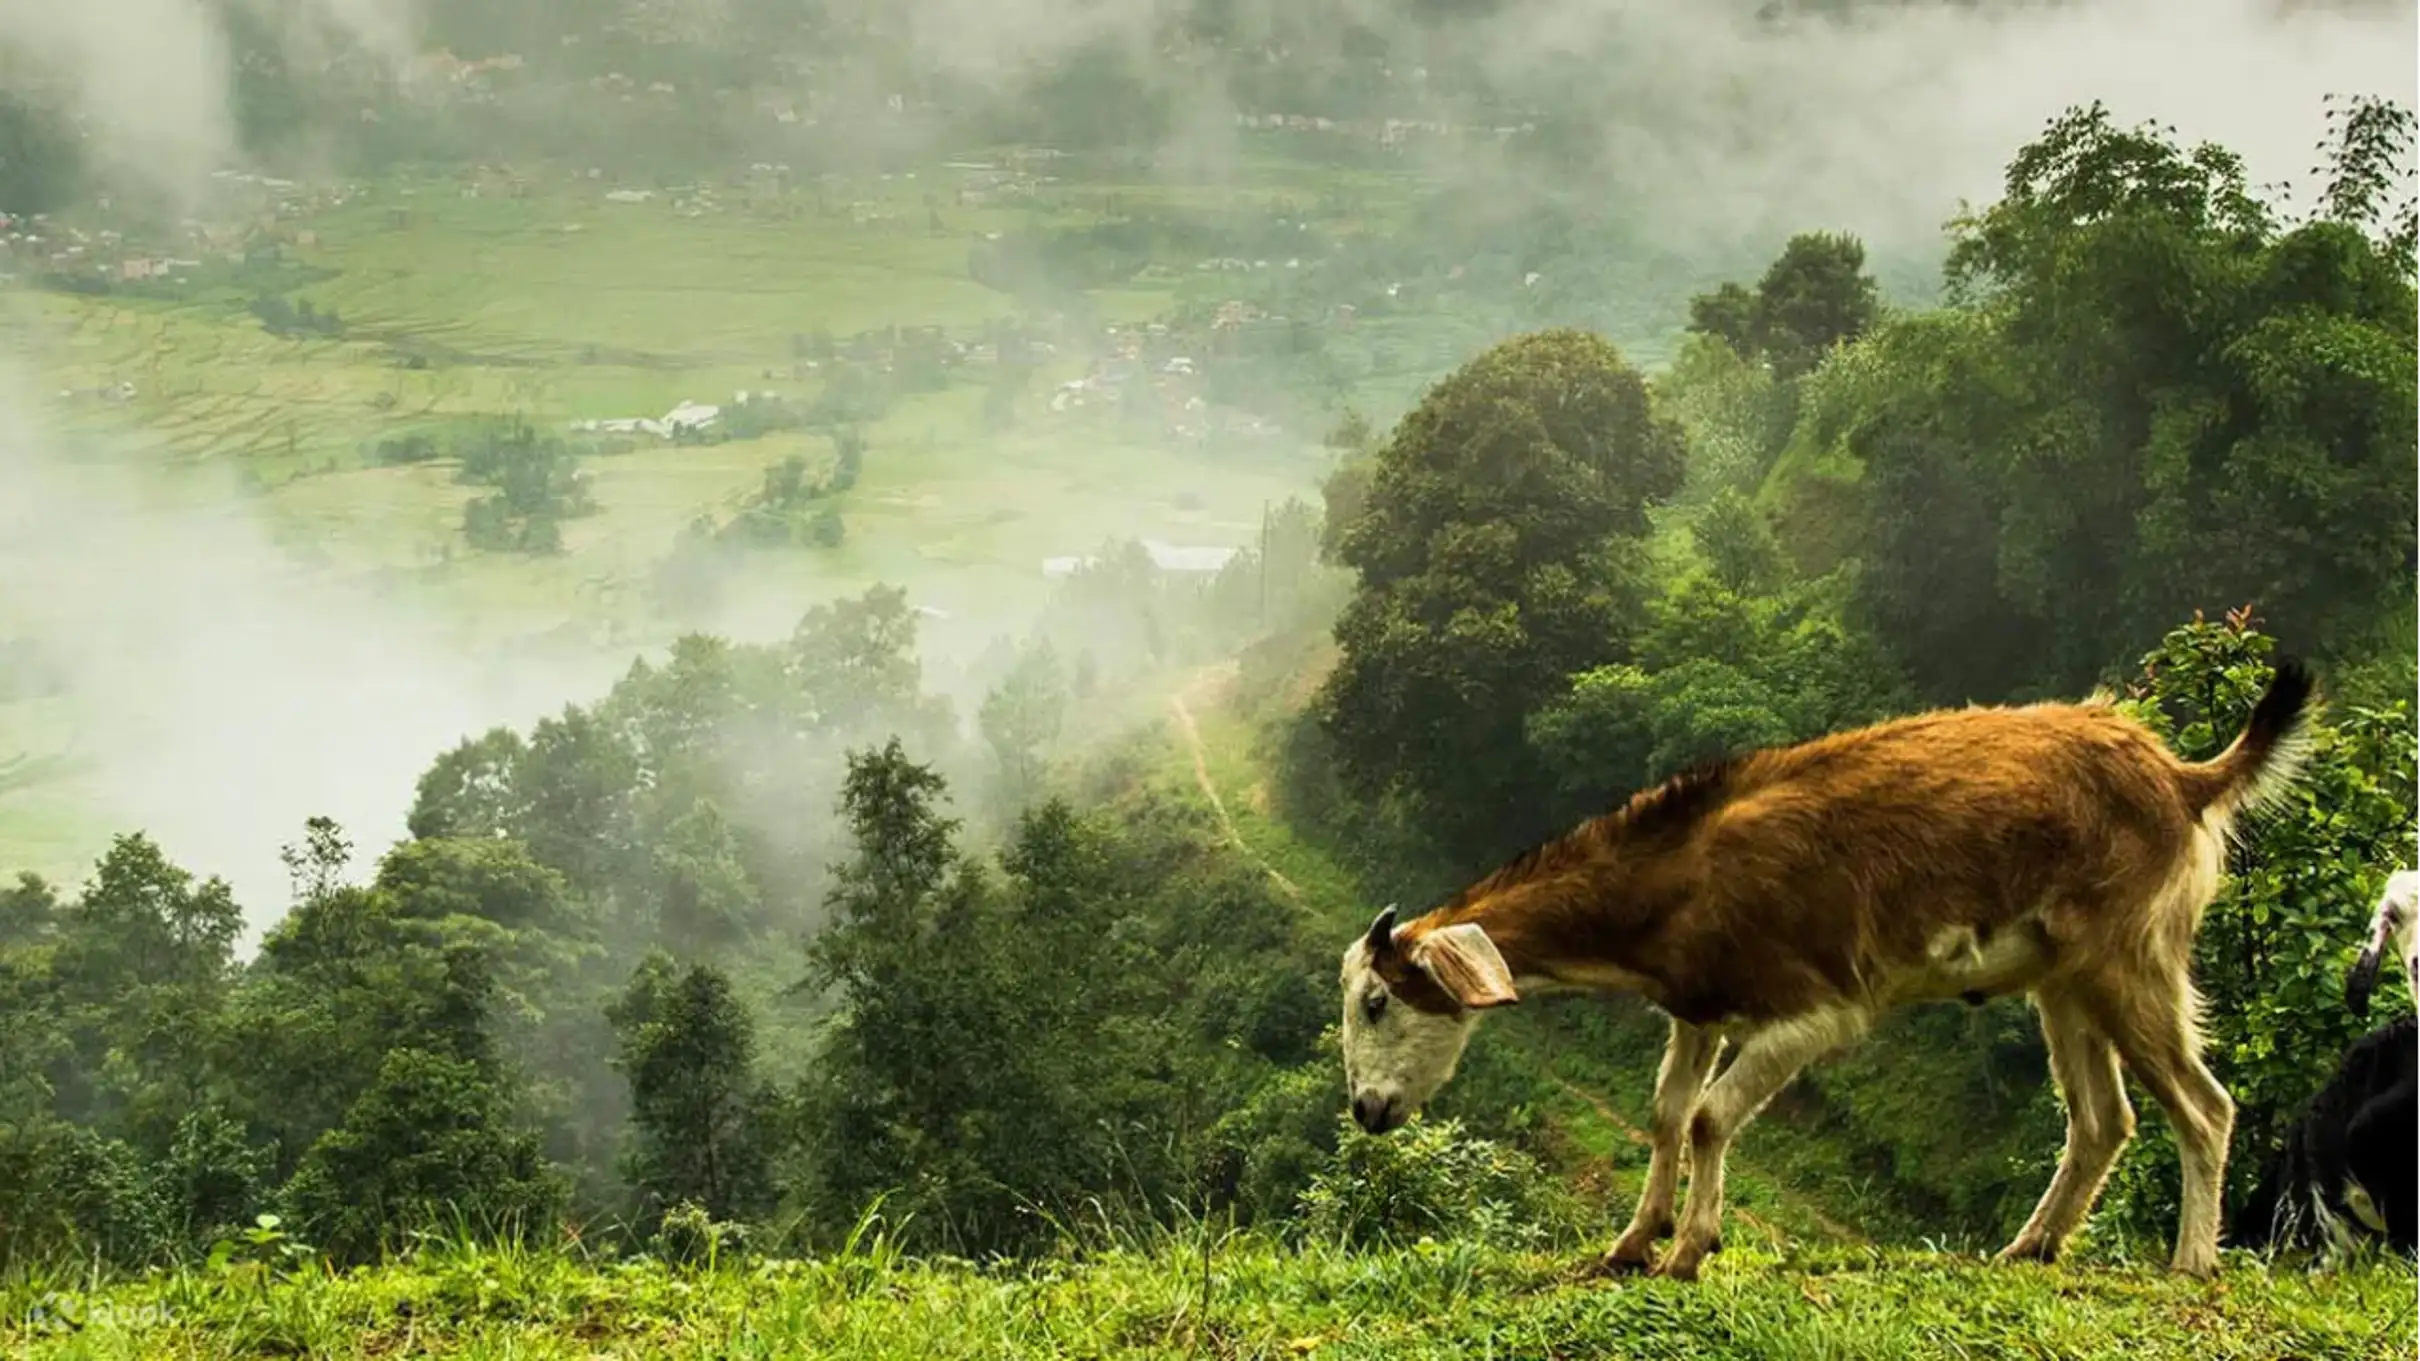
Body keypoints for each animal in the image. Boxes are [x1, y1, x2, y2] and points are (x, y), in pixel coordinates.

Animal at [1337, 661, 2316, 1282]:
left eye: (1378, 999)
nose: (1366, 1108)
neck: (1680, 872)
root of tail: (2182, 776)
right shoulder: (1699, 1007)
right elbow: (1665, 1113)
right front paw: (1634, 1241)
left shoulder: (1817, 1006)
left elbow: (1710, 1115)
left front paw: (1692, 1247)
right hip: (2065, 978)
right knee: (2104, 1119)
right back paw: (2028, 1249)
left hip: (2131, 955)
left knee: (2205, 1105)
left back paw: (2191, 1262)